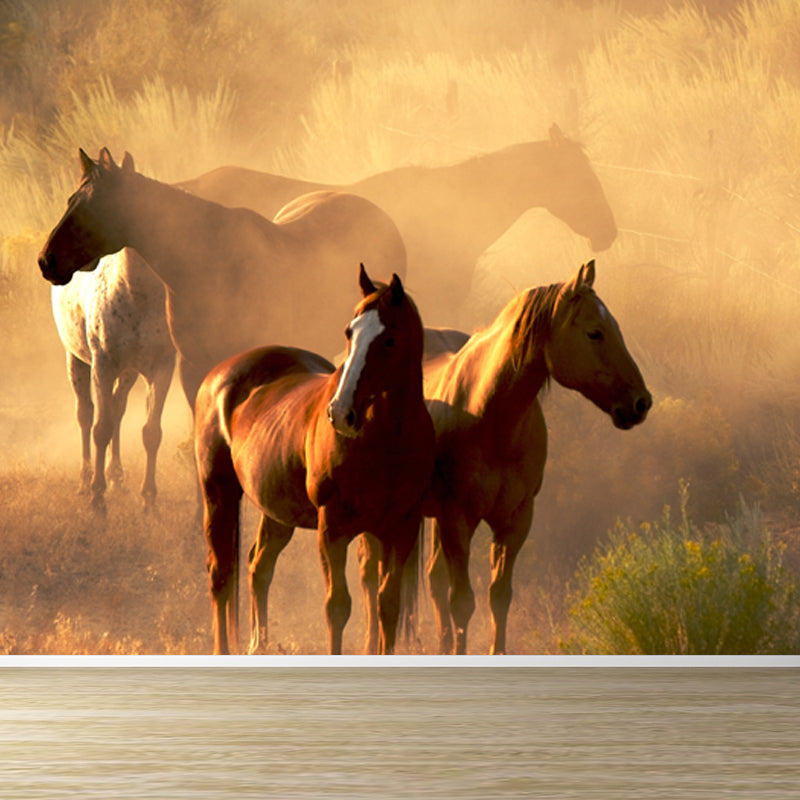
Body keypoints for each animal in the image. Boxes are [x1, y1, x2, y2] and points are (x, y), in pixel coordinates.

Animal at [38, 148, 407, 409]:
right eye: (71, 200)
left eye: (94, 207)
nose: (46, 260)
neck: (204, 265)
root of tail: (381, 215)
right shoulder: (191, 369)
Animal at [50, 247, 175, 511]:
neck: (137, 294)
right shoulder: (103, 366)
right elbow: (101, 428)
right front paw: (97, 496)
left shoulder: (161, 368)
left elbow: (151, 432)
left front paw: (149, 499)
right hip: (75, 360)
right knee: (85, 414)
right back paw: (85, 480)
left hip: (128, 373)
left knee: (117, 409)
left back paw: (116, 475)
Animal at [194, 264, 434, 655]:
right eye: (349, 332)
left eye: (389, 340)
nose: (340, 413)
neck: (387, 441)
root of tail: (221, 375)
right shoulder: (332, 528)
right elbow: (337, 606)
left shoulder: (400, 528)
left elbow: (387, 603)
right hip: (218, 494)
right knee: (220, 575)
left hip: (277, 513)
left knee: (258, 566)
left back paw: (259, 646)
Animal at [362, 260, 651, 655]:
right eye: (595, 333)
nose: (641, 402)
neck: (490, 415)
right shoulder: (459, 519)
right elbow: (462, 602)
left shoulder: (515, 521)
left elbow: (498, 597)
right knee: (370, 580)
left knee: (433, 579)